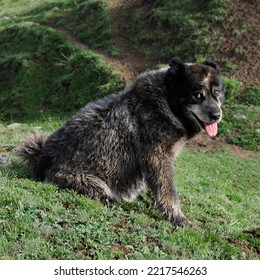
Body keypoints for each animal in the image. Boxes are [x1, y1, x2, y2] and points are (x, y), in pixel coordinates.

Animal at [15, 57, 224, 228]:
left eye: (217, 94)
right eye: (197, 95)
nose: (217, 115)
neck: (166, 100)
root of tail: (42, 158)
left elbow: (157, 188)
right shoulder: (158, 158)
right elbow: (168, 191)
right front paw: (178, 218)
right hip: (93, 183)